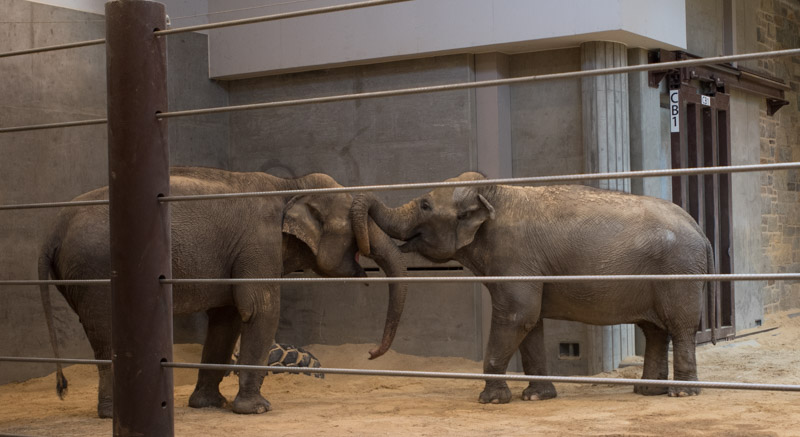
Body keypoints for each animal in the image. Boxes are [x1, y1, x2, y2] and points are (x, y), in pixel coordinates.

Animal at [39, 166, 406, 416]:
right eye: (359, 224)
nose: (371, 353)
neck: (290, 185)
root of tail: (52, 231)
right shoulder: (258, 244)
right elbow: (260, 310)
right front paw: (257, 409)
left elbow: (226, 320)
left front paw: (208, 404)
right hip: (95, 271)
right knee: (107, 331)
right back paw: (113, 414)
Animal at [354, 172, 716, 404]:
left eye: (425, 206)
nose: (369, 353)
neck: (493, 192)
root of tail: (700, 228)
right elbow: (531, 322)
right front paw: (535, 397)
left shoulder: (514, 257)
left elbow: (518, 316)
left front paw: (491, 400)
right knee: (654, 329)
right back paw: (648, 392)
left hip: (679, 272)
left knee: (680, 326)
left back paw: (682, 393)